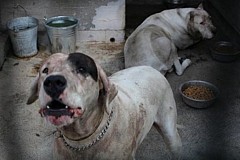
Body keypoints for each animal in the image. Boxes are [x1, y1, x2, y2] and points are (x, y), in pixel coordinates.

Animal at [27, 52, 182, 159]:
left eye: (81, 69)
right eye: (45, 70)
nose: (53, 82)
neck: (82, 141)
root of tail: (151, 68)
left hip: (170, 132)